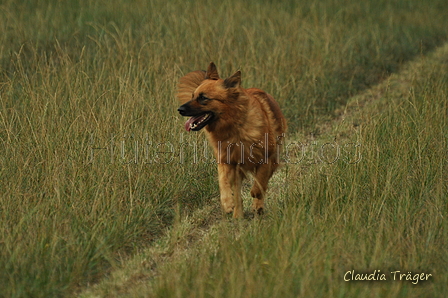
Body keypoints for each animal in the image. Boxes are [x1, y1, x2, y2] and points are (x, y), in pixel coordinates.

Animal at [176, 61, 286, 218]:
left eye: (203, 98)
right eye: (193, 96)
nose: (180, 109)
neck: (234, 127)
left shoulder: (267, 158)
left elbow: (260, 182)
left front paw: (255, 195)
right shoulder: (226, 161)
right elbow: (223, 182)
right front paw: (227, 203)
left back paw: (257, 206)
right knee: (238, 194)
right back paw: (237, 215)